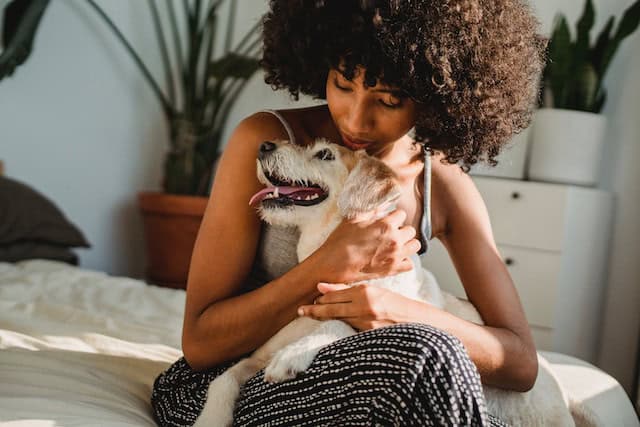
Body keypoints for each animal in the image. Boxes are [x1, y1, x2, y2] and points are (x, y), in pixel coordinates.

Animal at [194, 139, 480, 426]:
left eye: (324, 154)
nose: (265, 145)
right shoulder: (257, 357)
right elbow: (222, 380)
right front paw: (211, 418)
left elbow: (339, 322)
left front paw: (293, 353)